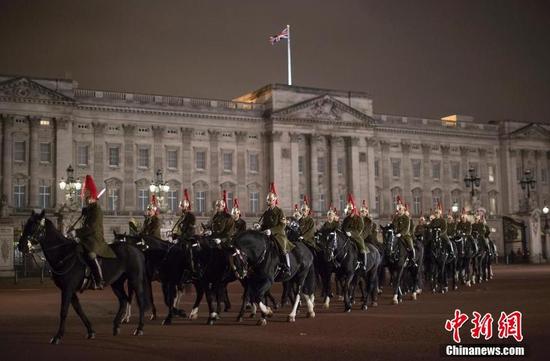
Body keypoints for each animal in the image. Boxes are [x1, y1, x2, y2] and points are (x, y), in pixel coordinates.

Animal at [18, 210, 151, 344]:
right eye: (26, 225)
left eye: (34, 227)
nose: (21, 246)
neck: (63, 255)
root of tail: (138, 250)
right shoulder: (70, 290)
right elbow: (79, 310)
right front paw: (90, 331)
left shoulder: (67, 289)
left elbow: (64, 311)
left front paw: (58, 336)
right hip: (117, 283)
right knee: (123, 300)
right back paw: (116, 326)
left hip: (135, 280)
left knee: (140, 301)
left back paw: (139, 329)